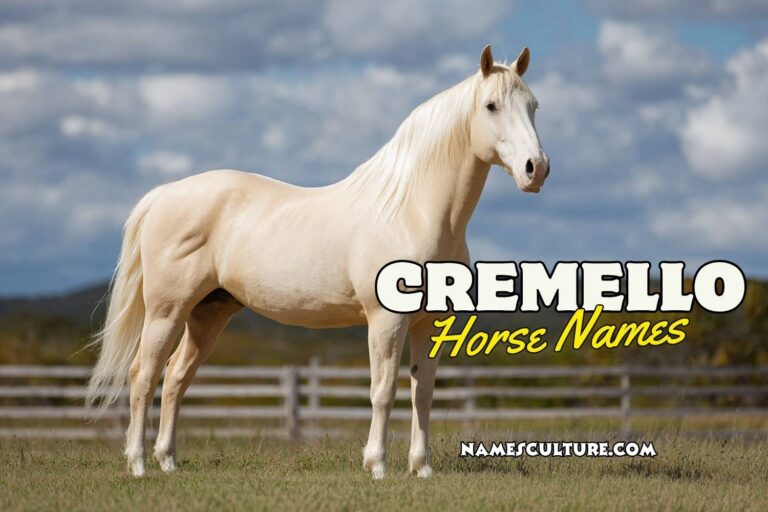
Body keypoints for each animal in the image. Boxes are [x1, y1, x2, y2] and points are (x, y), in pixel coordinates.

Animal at [86, 44, 549, 479]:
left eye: (533, 105)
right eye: (491, 105)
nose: (536, 169)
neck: (410, 210)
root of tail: (163, 195)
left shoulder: (429, 325)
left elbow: (423, 392)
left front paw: (422, 468)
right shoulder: (386, 321)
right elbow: (383, 391)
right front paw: (377, 465)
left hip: (209, 313)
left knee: (177, 378)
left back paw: (167, 461)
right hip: (167, 311)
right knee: (144, 375)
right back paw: (138, 464)